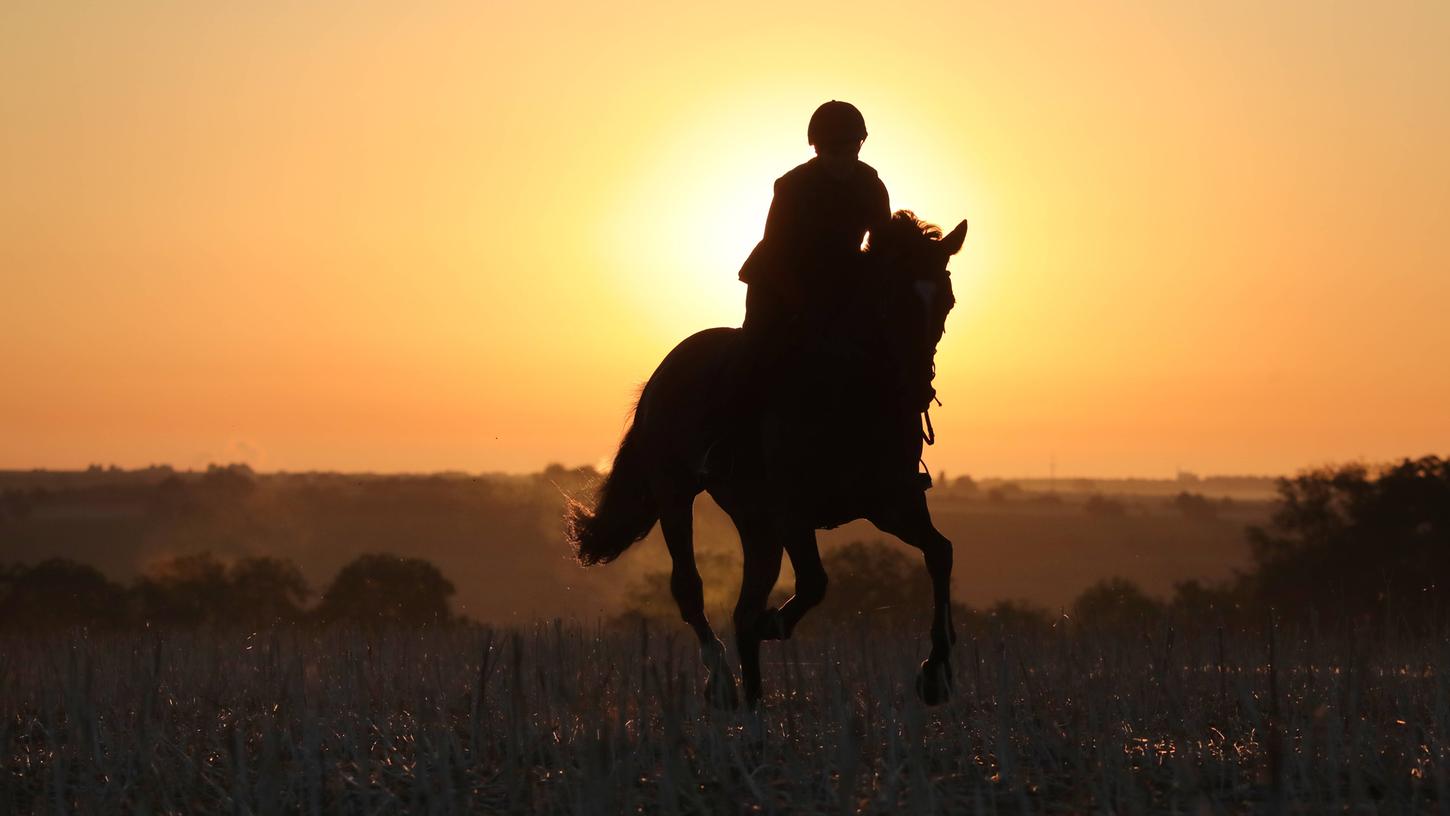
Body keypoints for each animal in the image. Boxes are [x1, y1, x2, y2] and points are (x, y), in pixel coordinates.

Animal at [562, 213, 962, 710]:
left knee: (744, 603)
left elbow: (940, 553)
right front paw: (775, 624)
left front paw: (935, 674)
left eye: (946, 301)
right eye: (890, 300)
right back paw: (721, 681)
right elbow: (813, 582)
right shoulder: (793, 511)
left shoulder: (892, 504)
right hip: (676, 496)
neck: (853, 395)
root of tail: (664, 370)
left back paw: (753, 704)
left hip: (754, 521)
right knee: (690, 589)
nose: (917, 390)